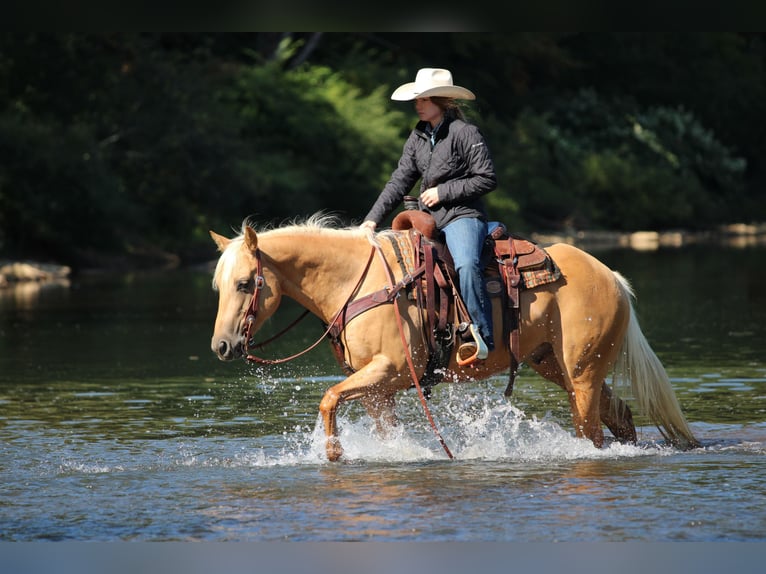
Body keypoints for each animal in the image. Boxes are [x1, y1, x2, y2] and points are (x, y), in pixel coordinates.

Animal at [209, 214, 699, 461]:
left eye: (244, 283)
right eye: (219, 285)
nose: (222, 346)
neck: (360, 282)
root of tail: (612, 277)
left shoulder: (389, 371)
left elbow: (328, 399)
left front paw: (332, 454)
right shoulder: (375, 389)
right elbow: (372, 425)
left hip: (582, 374)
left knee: (593, 431)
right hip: (555, 364)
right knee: (620, 416)